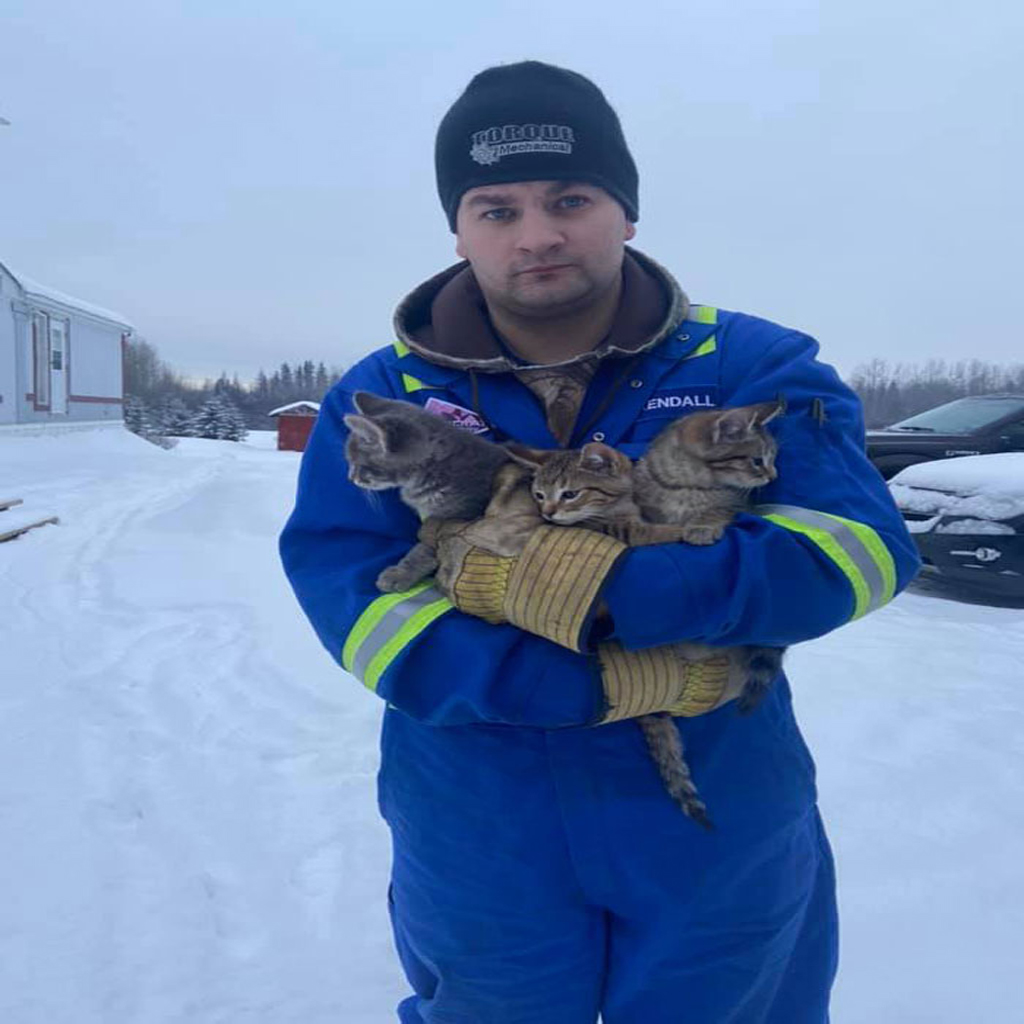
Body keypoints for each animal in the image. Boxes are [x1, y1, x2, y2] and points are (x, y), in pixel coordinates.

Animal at [509, 399, 782, 831]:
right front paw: (686, 529)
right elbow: (655, 531)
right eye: (537, 494)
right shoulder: (629, 529)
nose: (548, 513)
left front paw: (702, 524)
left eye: (569, 493)